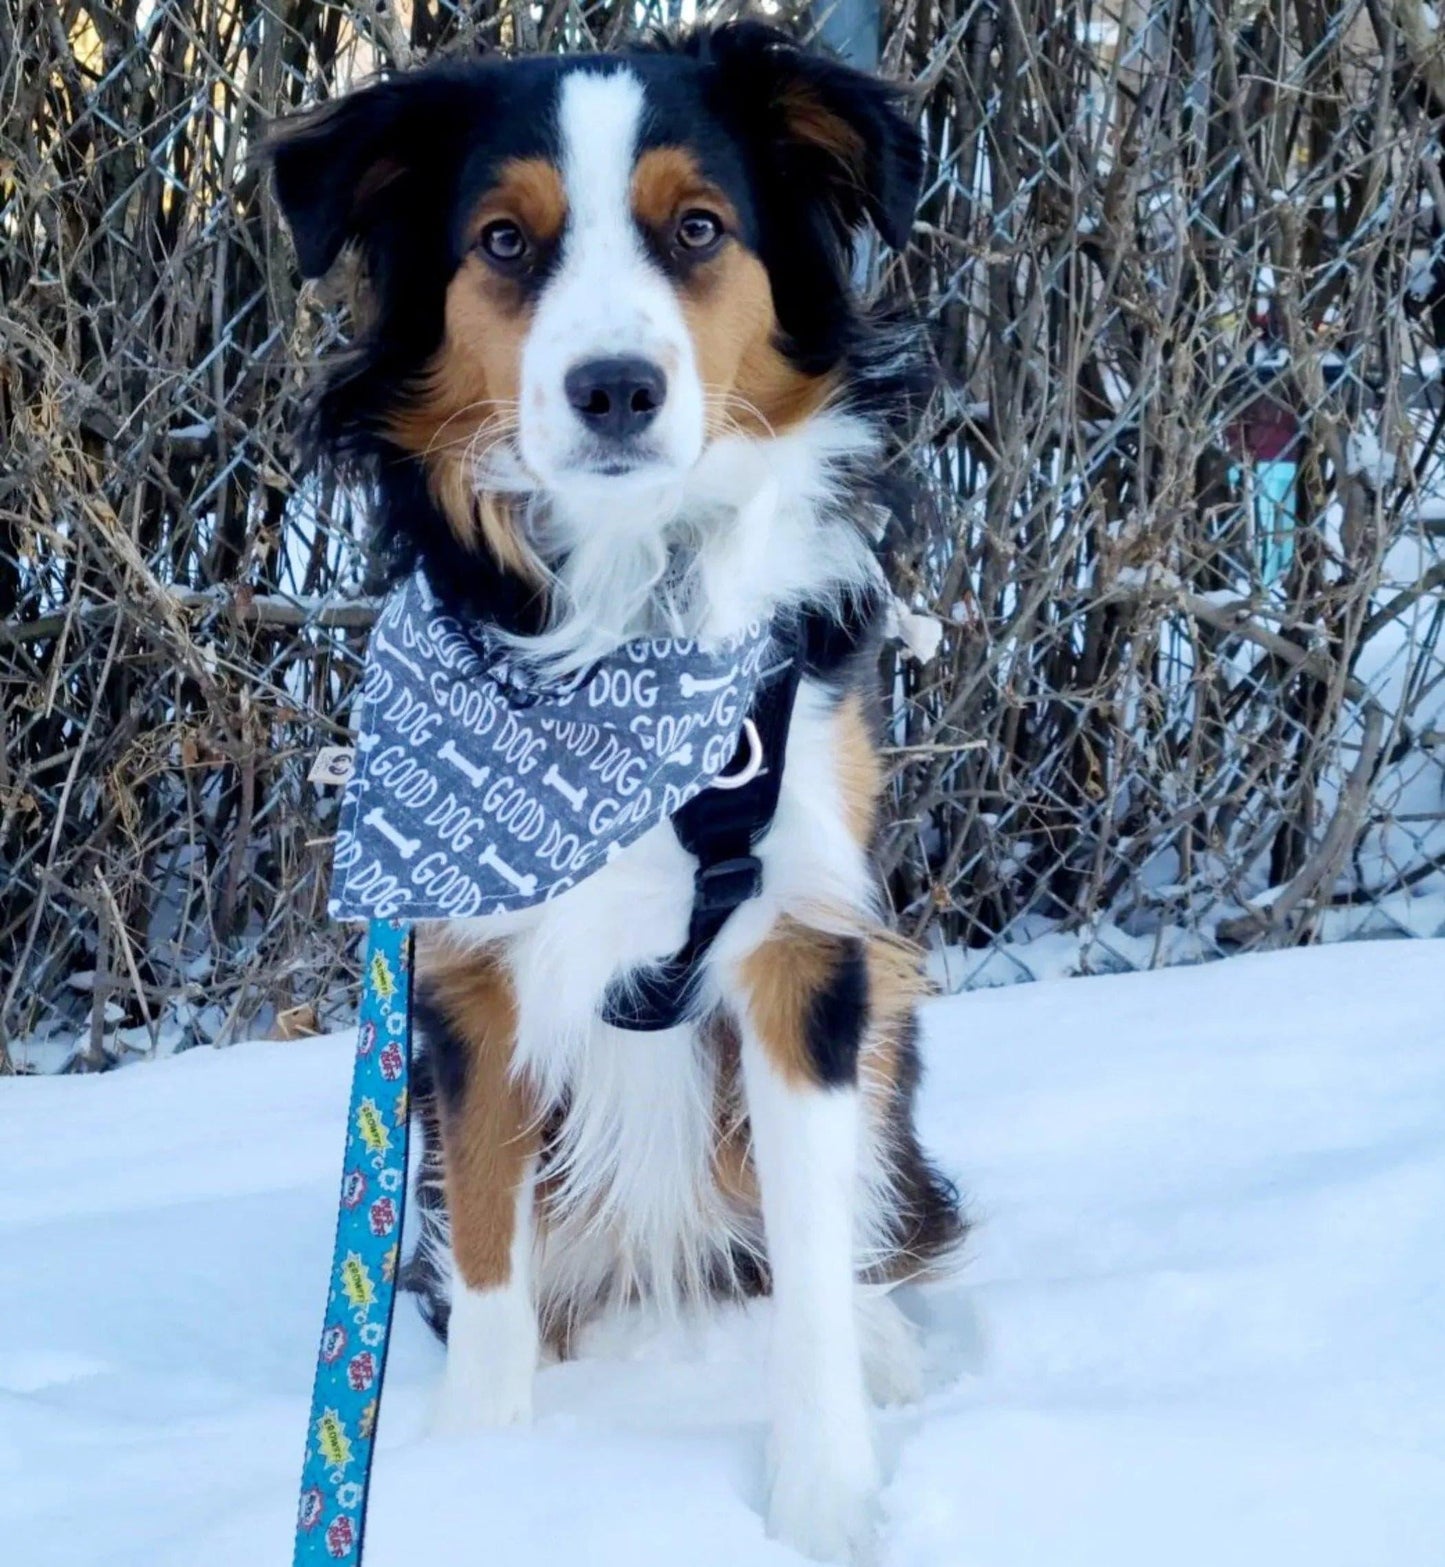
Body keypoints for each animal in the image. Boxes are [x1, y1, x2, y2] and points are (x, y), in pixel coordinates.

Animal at [269, 21, 971, 1554]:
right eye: (502, 241)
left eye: (696, 228)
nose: (612, 389)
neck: (626, 616)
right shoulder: (459, 963)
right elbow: (485, 1251)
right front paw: (481, 1471)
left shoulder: (805, 937)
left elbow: (812, 1252)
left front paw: (826, 1503)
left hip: (884, 996)